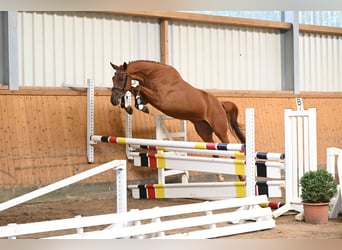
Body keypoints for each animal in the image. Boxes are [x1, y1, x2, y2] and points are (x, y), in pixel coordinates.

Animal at [110, 60, 246, 180]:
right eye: (113, 78)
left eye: (121, 79)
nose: (113, 100)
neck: (154, 75)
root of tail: (220, 103)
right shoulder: (149, 97)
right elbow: (135, 90)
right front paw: (130, 107)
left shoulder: (160, 99)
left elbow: (137, 88)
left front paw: (139, 107)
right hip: (204, 131)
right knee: (214, 150)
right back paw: (220, 176)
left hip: (220, 129)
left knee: (229, 148)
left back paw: (242, 177)